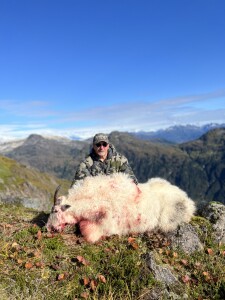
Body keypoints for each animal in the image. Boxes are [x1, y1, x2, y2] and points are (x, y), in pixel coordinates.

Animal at [46, 172, 195, 243]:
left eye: (55, 210)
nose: (47, 228)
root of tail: (189, 202)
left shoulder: (105, 225)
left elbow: (89, 234)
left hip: (168, 217)